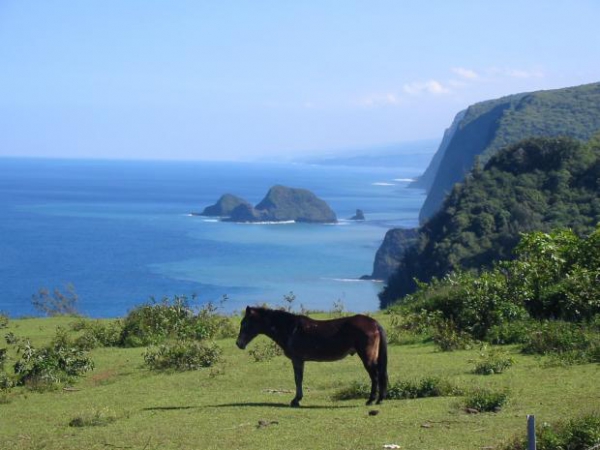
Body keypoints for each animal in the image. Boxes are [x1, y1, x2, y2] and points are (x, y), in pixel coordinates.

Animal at [234, 306, 390, 408]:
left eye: (244, 323)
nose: (238, 344)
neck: (290, 329)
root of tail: (375, 324)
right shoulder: (300, 360)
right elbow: (299, 379)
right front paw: (297, 399)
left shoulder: (297, 359)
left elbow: (298, 379)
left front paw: (296, 400)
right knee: (381, 375)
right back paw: (380, 400)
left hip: (367, 357)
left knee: (375, 376)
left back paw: (371, 400)